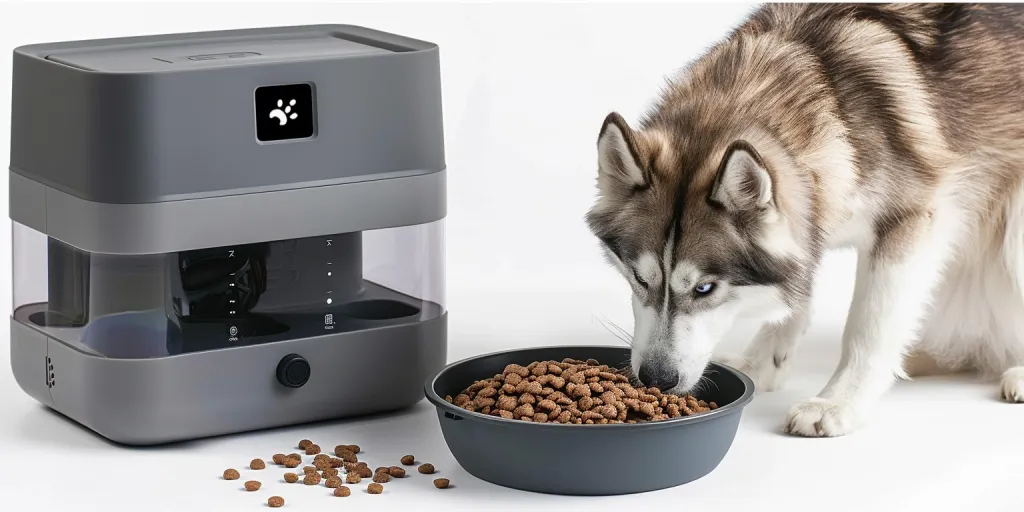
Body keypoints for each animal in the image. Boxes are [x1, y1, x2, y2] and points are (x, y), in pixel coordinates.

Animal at [585, 3, 1024, 436]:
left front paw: (838, 401)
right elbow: (795, 292)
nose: (656, 379)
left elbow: (870, 325)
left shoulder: (912, 219)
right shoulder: (810, 222)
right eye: (640, 279)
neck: (833, 99)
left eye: (705, 288)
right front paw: (761, 364)